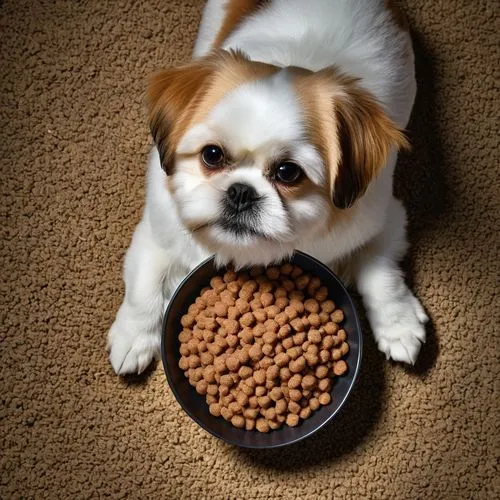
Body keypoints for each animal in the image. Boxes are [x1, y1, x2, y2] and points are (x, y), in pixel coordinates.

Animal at [107, 0, 428, 376]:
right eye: (212, 155)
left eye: (288, 172)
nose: (241, 191)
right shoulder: (158, 230)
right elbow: (145, 285)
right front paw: (133, 337)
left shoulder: (385, 218)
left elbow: (381, 275)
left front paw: (399, 325)